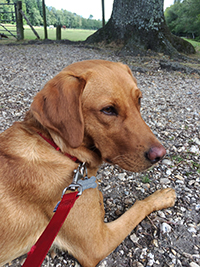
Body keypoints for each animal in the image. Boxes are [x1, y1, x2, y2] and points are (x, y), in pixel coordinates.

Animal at [0, 59, 175, 266]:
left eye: (139, 100)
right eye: (108, 110)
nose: (160, 155)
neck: (57, 148)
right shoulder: (97, 244)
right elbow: (139, 205)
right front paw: (162, 196)